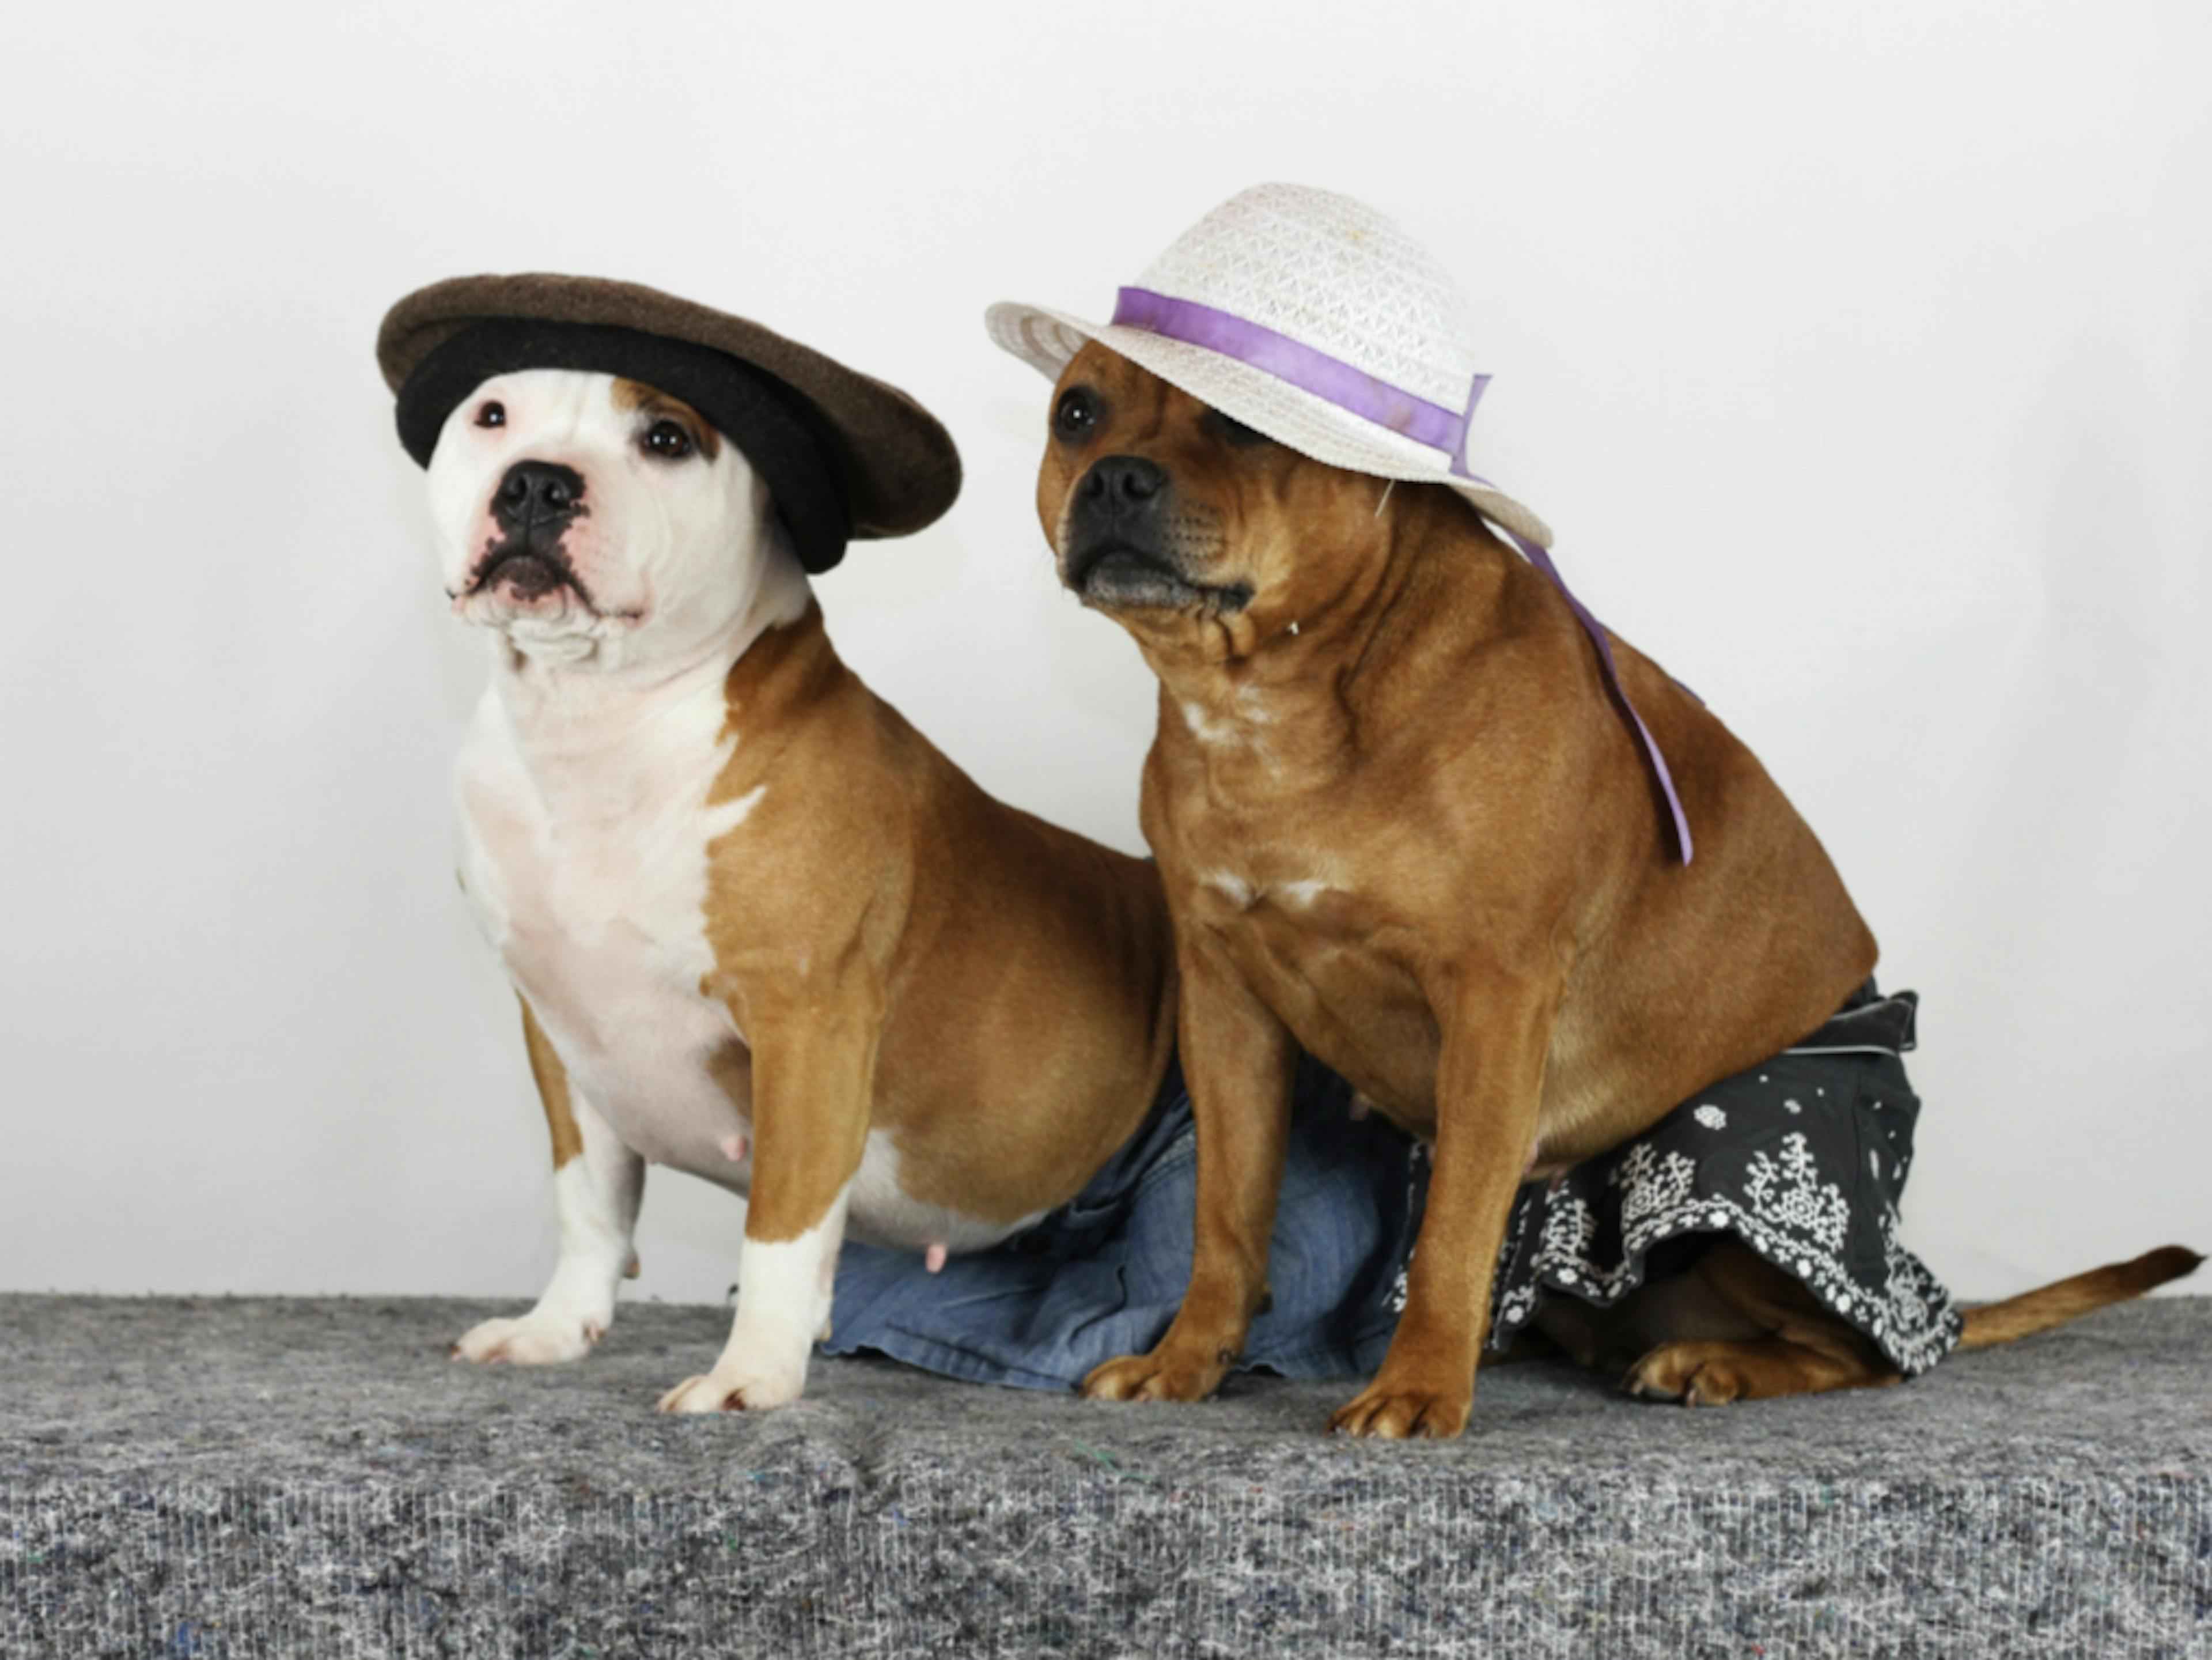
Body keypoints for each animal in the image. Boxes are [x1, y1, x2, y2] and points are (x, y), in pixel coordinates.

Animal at [1026, 345, 2203, 1434]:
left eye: (1241, 423)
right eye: (1076, 412)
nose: (1117, 478)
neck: (1278, 697)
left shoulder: (1494, 1002)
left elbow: (1452, 1226)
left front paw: (1416, 1388)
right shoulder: (1226, 1010)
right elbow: (1225, 1220)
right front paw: (1187, 1364)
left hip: (1728, 1153)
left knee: (1870, 1352)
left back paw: (1714, 1365)